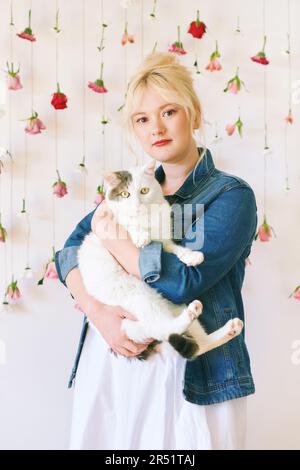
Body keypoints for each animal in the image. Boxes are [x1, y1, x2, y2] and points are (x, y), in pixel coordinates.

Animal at [77, 160, 244, 362]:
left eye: (144, 191)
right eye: (125, 194)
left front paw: (192, 256)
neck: (146, 219)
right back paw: (192, 314)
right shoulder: (112, 223)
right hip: (139, 297)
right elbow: (128, 226)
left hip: (174, 306)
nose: (137, 205)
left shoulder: (164, 242)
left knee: (198, 344)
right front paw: (140, 236)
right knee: (163, 329)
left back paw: (230, 328)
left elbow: (176, 249)